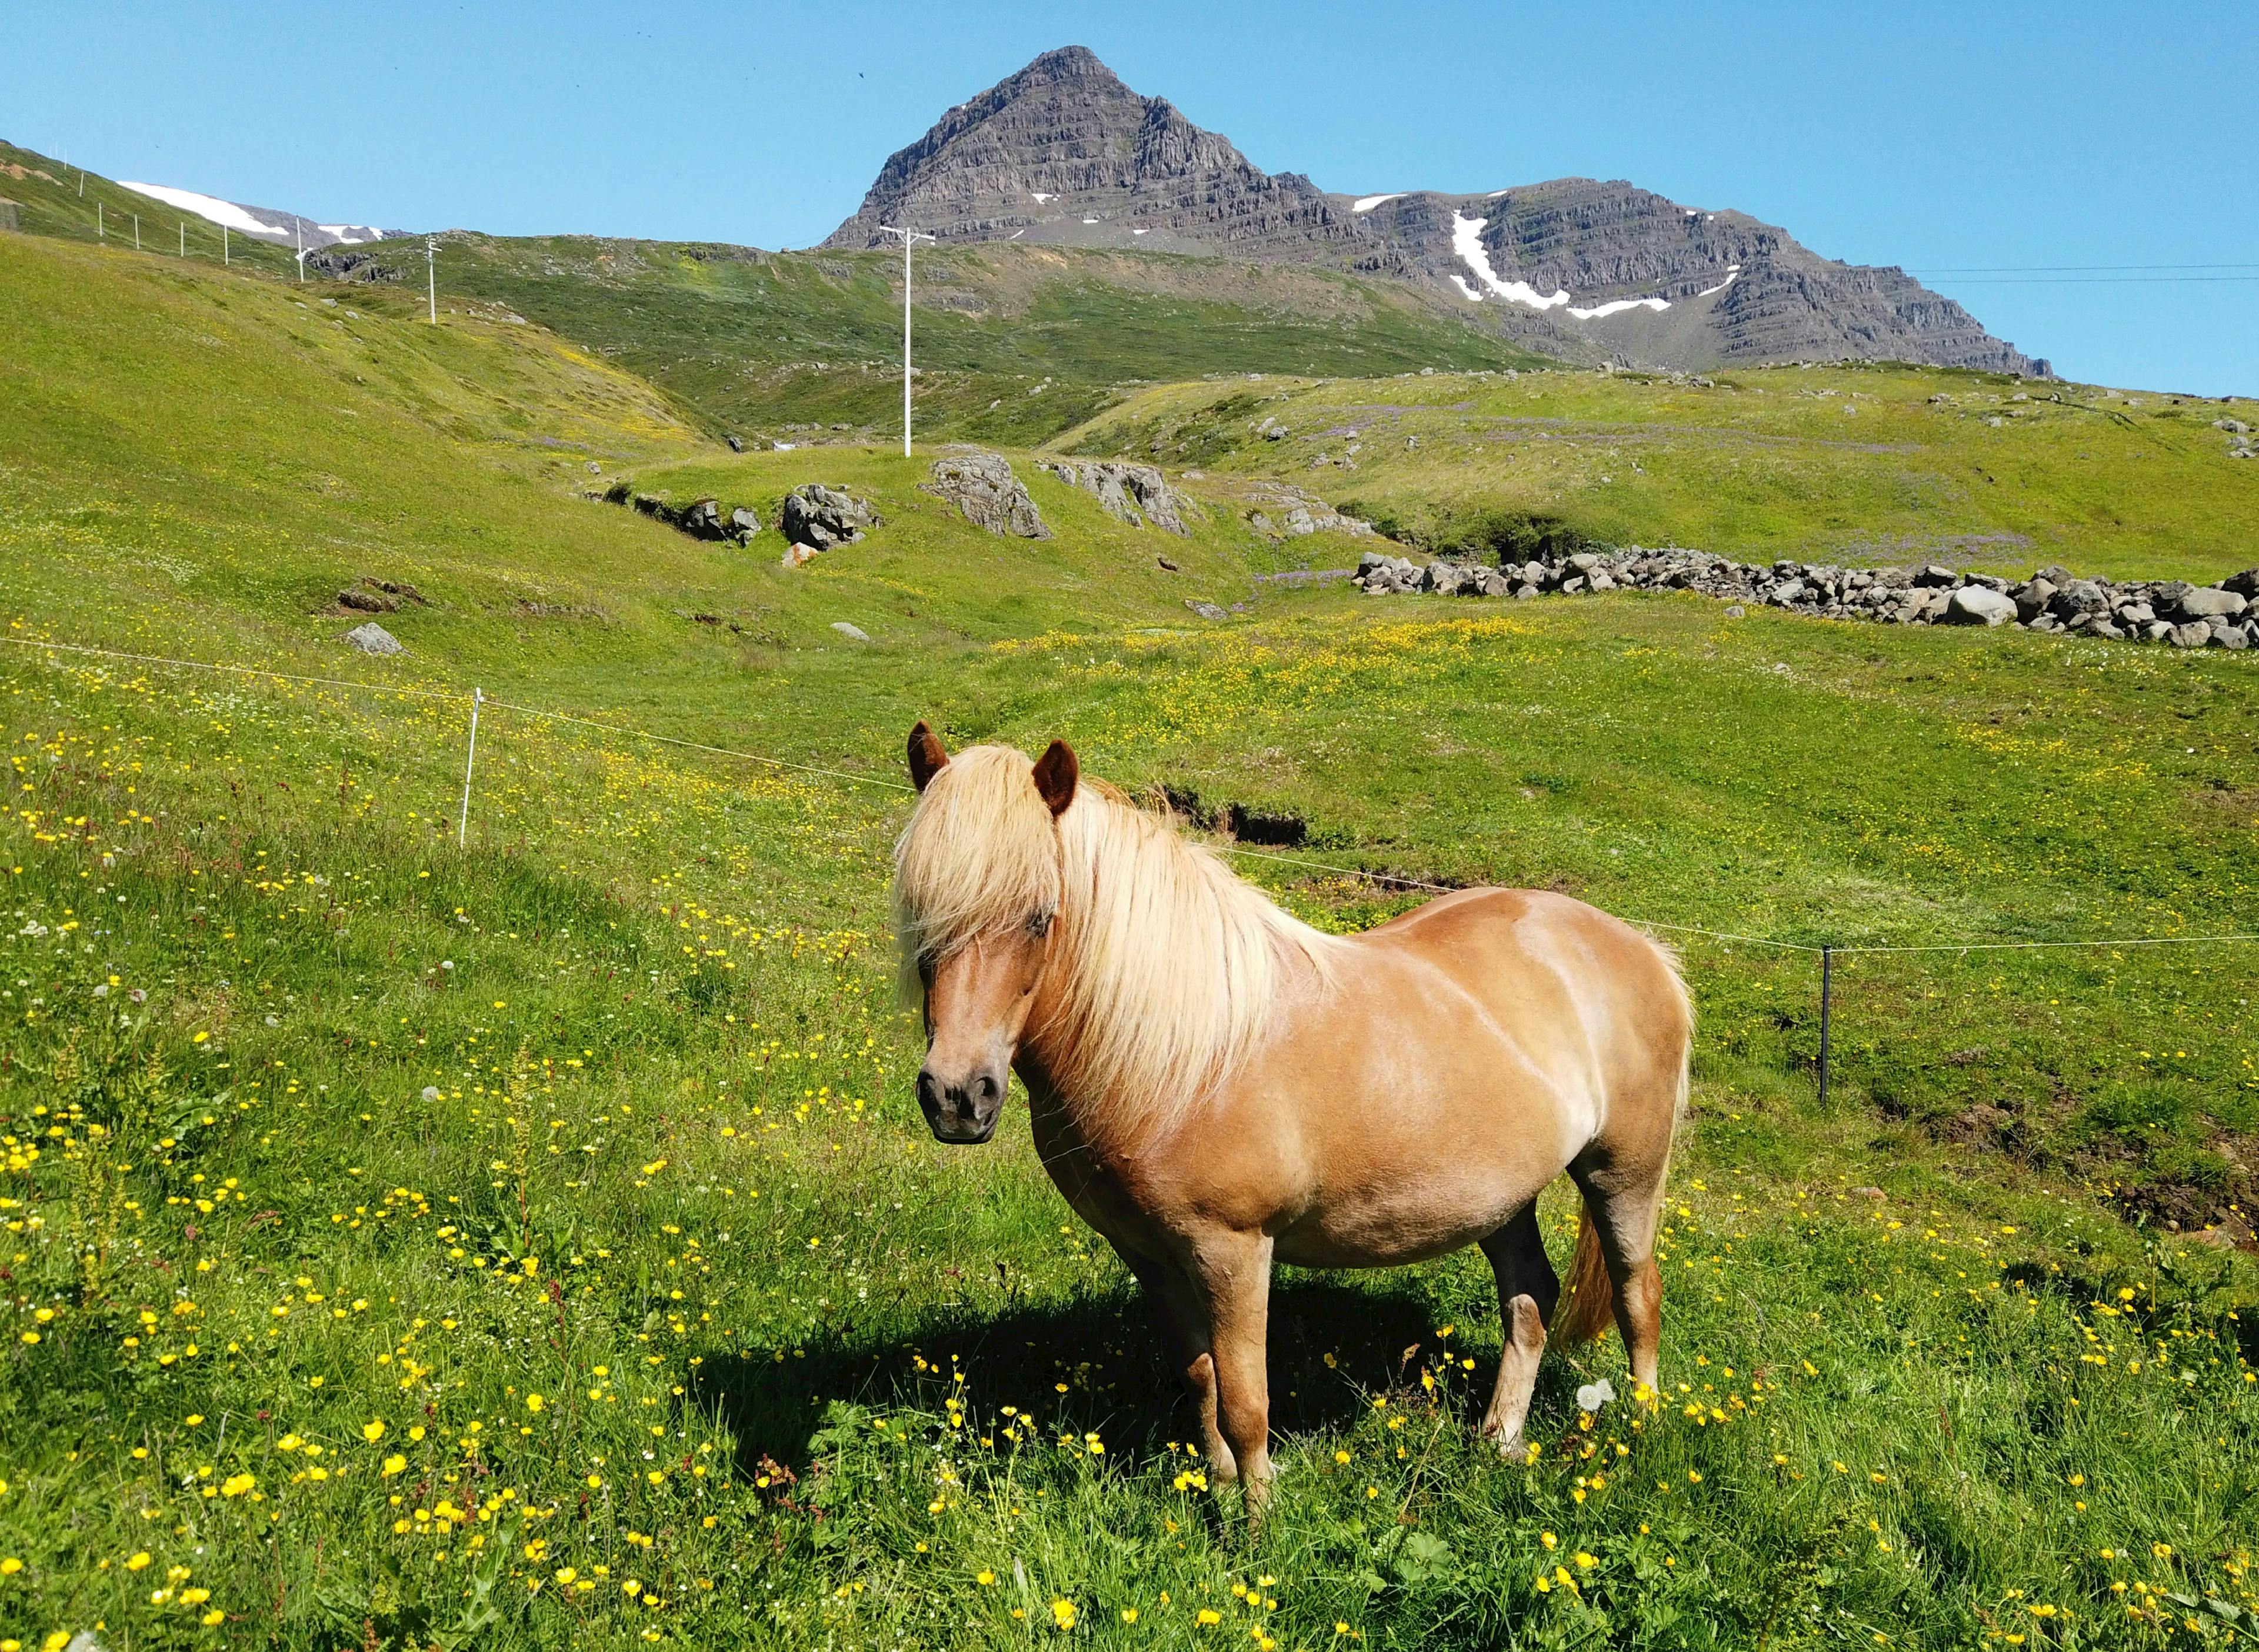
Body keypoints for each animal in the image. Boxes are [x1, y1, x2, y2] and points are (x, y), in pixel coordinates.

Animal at [892, 723, 1692, 1515]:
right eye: (919, 911)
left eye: (1038, 917)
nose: (957, 1096)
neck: (1184, 1055)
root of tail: (1643, 949)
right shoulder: (1150, 1254)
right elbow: (1202, 1379)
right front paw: (1215, 1491)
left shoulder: (1234, 1251)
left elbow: (1247, 1403)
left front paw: (1258, 1524)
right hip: (1500, 1198)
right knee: (1530, 1299)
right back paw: (1499, 1441)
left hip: (1623, 1175)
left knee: (1637, 1294)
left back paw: (1642, 1430)